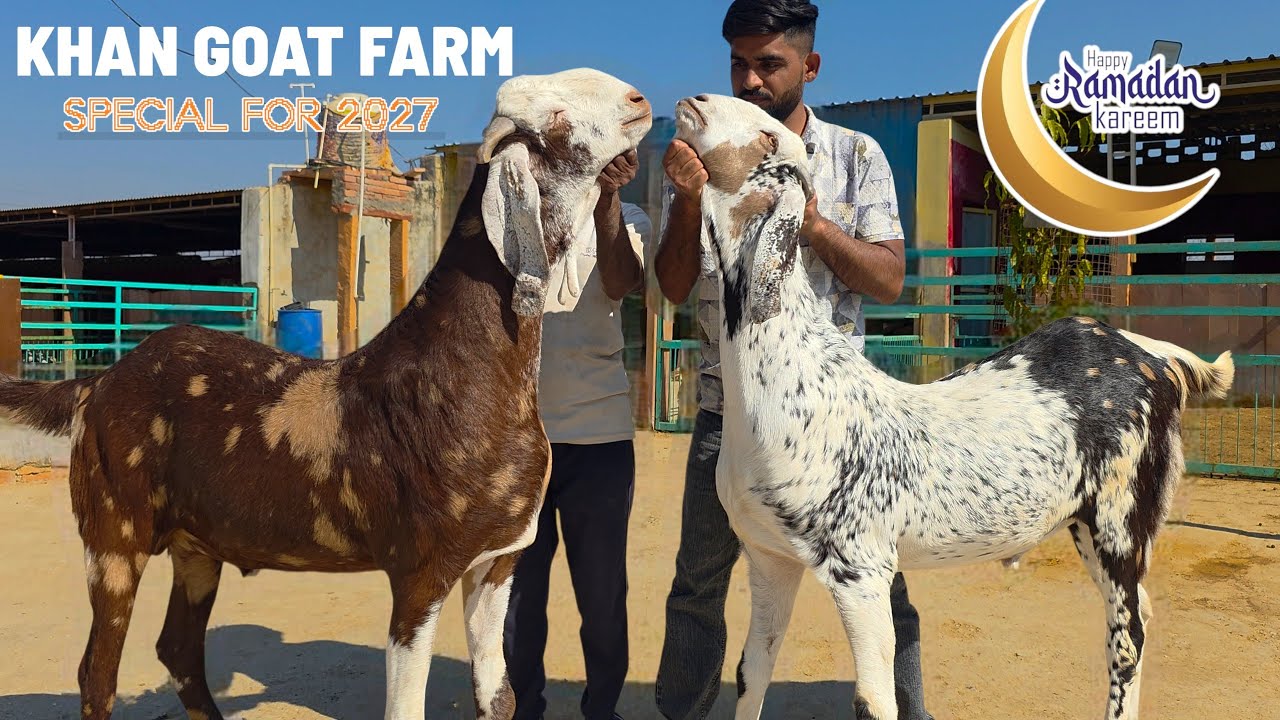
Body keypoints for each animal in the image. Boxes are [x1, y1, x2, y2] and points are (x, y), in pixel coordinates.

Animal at [0, 68, 651, 720]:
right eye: (557, 120)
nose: (638, 99)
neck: (466, 368)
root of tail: (99, 381)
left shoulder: (498, 561)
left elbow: (500, 696)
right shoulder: (421, 572)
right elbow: (406, 706)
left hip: (197, 545)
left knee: (178, 648)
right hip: (115, 536)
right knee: (97, 673)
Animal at [671, 93, 1233, 720]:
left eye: (769, 136)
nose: (694, 100)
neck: (788, 385)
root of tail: (1152, 357)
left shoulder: (861, 568)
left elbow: (873, 700)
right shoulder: (770, 556)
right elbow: (751, 671)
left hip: (1121, 516)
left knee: (1128, 636)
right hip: (1087, 525)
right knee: (1141, 614)